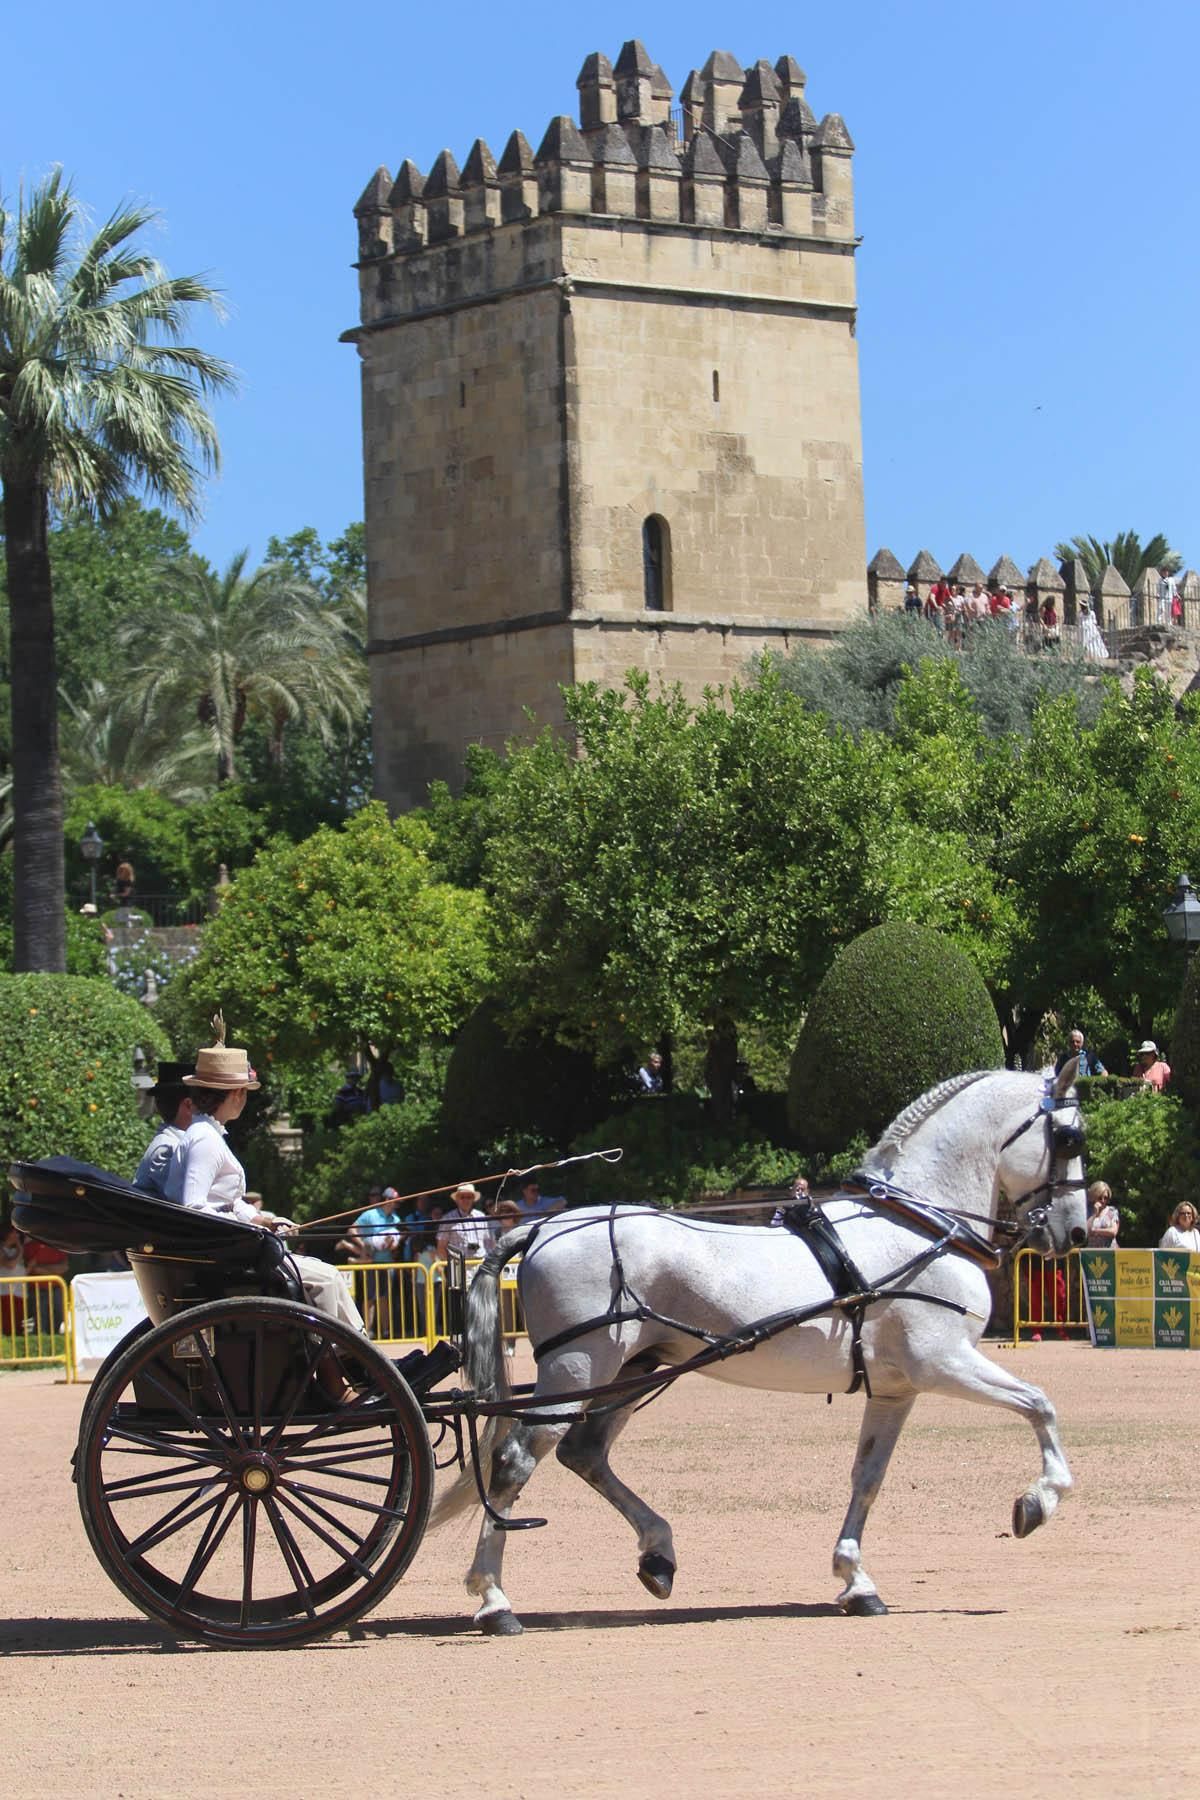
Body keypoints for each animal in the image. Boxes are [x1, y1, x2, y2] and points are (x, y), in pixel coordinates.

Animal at [433, 1058, 1086, 1641]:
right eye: (1069, 1136)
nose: (1076, 1231)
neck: (917, 1225)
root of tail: (543, 1226)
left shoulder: (896, 1390)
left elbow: (868, 1477)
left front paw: (856, 1581)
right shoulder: (945, 1363)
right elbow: (1040, 1404)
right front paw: (1038, 1502)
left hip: (629, 1373)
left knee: (584, 1454)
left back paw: (658, 1555)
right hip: (576, 1373)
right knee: (515, 1462)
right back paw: (494, 1599)